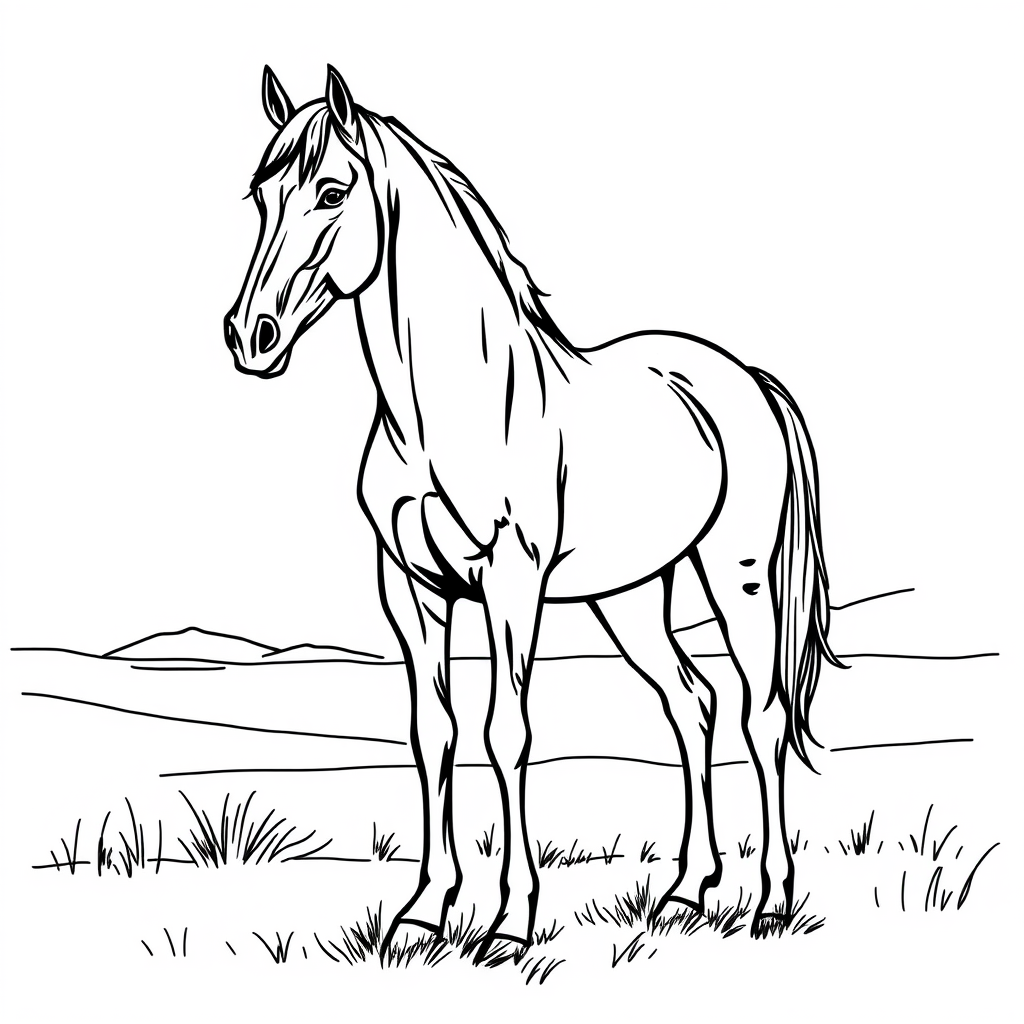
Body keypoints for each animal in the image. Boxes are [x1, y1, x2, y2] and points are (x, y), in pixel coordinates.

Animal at [224, 64, 842, 951]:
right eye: (259, 196)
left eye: (333, 191)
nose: (251, 334)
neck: (447, 408)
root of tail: (744, 377)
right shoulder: (409, 590)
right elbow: (434, 733)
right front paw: (424, 910)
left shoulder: (511, 580)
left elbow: (504, 732)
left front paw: (512, 922)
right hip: (630, 598)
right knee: (693, 705)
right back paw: (685, 891)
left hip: (739, 575)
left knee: (760, 716)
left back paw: (771, 903)